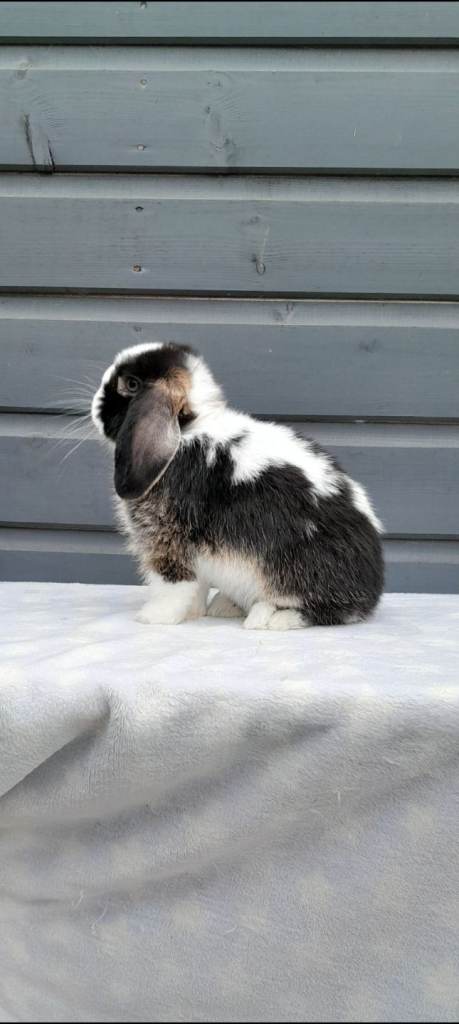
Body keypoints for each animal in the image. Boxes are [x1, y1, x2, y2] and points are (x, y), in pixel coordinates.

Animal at [92, 342, 384, 629]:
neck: (187, 431)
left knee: (328, 611)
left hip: (296, 571)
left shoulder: (168, 541)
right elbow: (197, 588)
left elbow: (173, 585)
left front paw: (153, 617)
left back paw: (271, 617)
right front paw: (194, 613)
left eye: (131, 384)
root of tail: (372, 590)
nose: (95, 405)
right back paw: (226, 606)